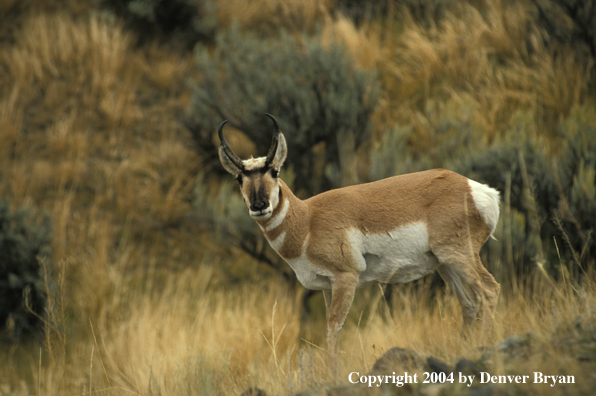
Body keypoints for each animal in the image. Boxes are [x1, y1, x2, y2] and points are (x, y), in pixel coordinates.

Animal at [217, 113, 500, 352]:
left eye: (274, 171)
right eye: (239, 179)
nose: (259, 206)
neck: (308, 219)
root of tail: (475, 189)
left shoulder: (346, 278)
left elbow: (333, 331)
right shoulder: (326, 287)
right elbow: (330, 329)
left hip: (458, 256)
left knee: (489, 291)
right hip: (444, 264)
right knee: (469, 303)